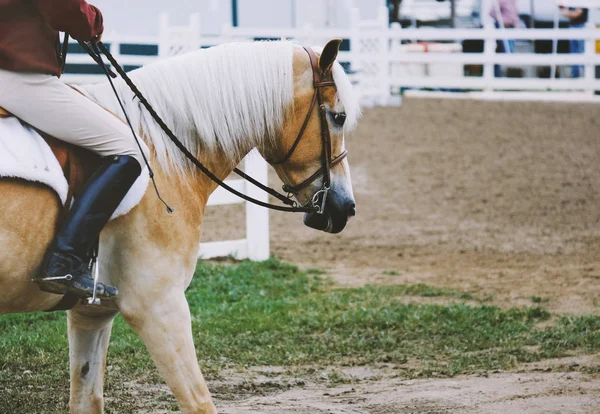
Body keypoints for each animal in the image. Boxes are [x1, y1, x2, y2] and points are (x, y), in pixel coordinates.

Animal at [0, 38, 360, 410]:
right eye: (339, 117)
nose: (345, 208)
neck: (162, 154)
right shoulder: (159, 307)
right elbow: (200, 403)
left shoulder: (91, 313)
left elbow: (87, 399)